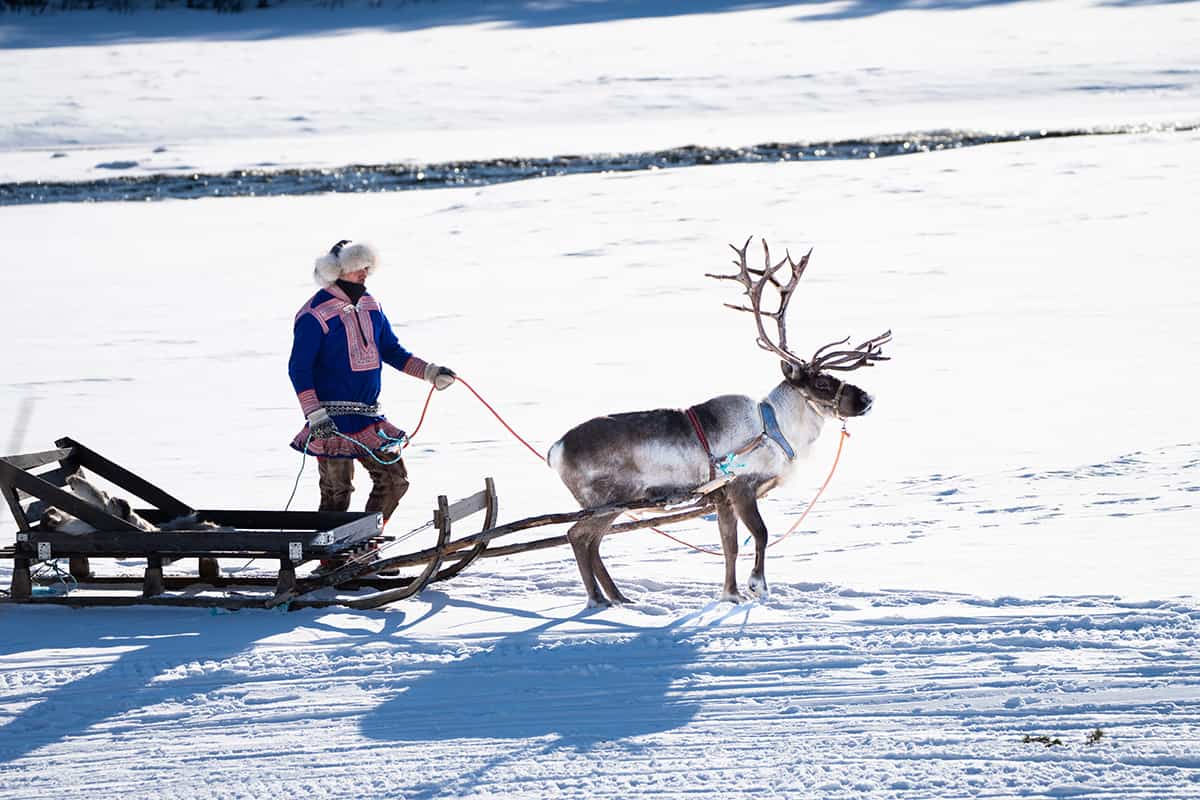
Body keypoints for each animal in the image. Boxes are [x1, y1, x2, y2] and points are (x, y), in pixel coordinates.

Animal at [546, 238, 891, 607]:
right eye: (823, 382)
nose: (868, 399)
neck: (776, 428)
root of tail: (556, 449)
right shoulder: (741, 487)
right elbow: (760, 534)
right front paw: (757, 586)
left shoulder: (721, 498)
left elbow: (729, 547)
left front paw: (731, 594)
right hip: (606, 500)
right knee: (577, 536)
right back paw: (599, 600)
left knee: (590, 541)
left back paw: (619, 598)